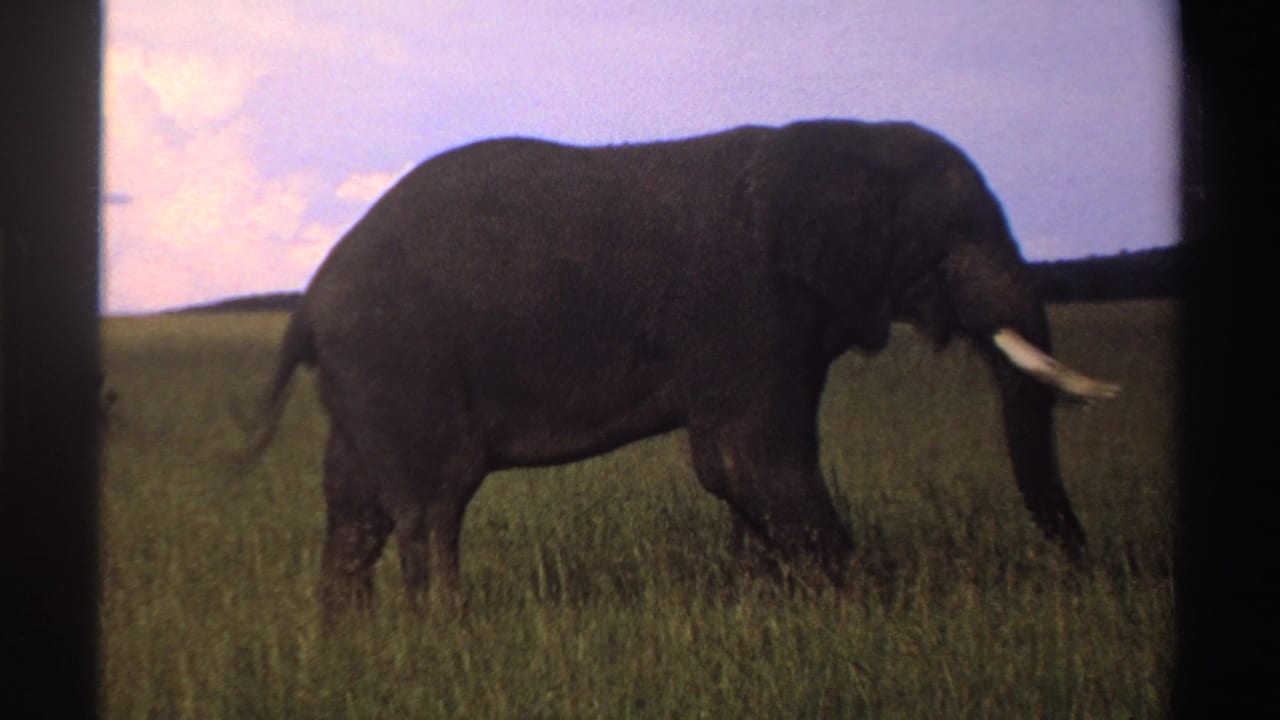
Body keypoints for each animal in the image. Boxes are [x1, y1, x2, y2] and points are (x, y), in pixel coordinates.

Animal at [243, 118, 1119, 617]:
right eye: (956, 234)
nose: (1086, 577)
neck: (832, 143)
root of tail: (308, 302)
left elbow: (751, 472)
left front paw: (772, 614)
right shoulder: (743, 304)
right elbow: (749, 460)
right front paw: (876, 613)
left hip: (363, 378)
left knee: (356, 507)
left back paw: (350, 638)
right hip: (400, 359)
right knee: (433, 502)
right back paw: (443, 639)